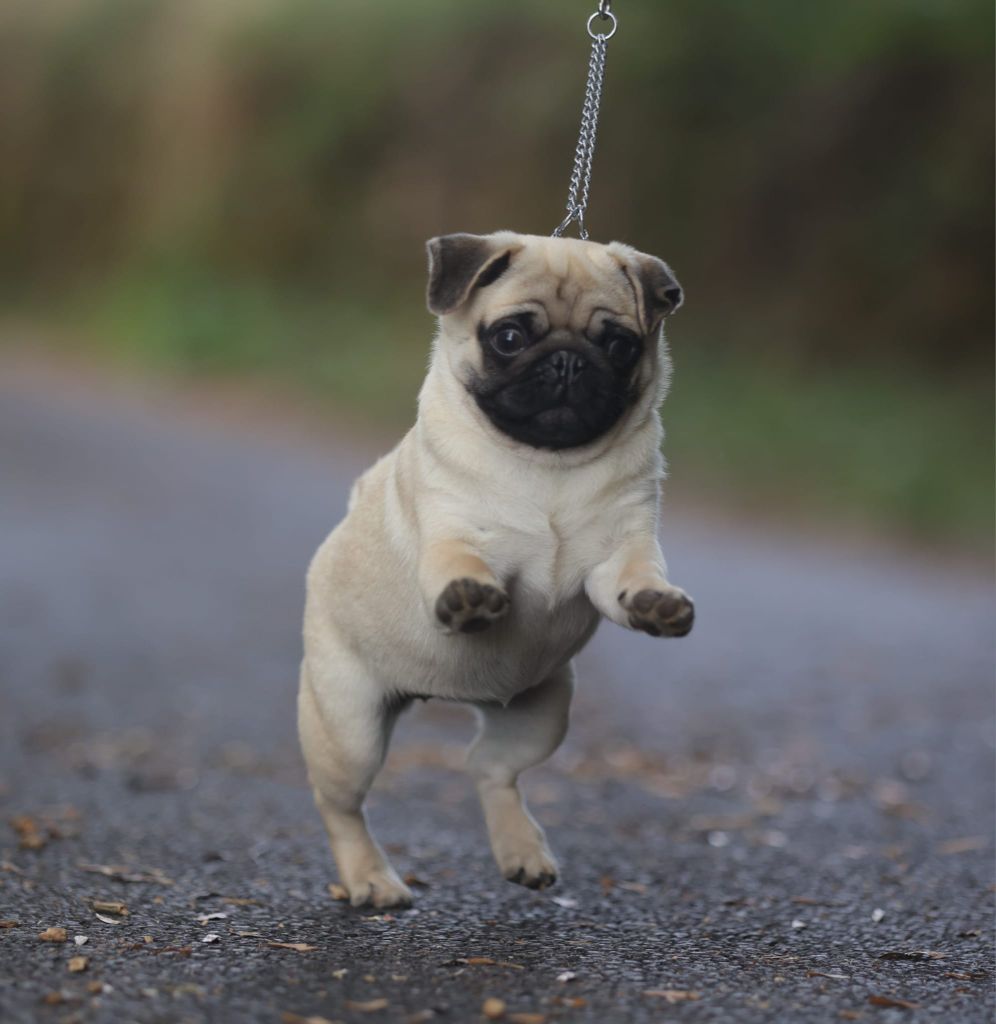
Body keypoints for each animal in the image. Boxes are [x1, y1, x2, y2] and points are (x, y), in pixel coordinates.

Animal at [298, 230, 696, 905]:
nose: (567, 362)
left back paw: (521, 851)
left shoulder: (619, 549)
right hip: (347, 727)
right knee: (340, 805)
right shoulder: (453, 528)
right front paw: (468, 596)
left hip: (543, 713)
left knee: (488, 769)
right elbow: (463, 561)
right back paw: (371, 878)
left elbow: (634, 575)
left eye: (619, 345)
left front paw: (655, 603)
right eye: (509, 337)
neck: (548, 468)